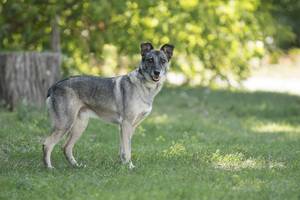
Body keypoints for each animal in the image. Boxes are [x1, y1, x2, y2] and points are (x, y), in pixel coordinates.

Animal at [42, 42, 173, 169]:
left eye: (163, 61)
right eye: (150, 60)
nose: (157, 72)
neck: (144, 87)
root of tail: (55, 86)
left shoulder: (129, 127)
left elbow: (123, 149)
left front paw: (123, 166)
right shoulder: (126, 124)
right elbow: (127, 150)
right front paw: (130, 166)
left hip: (80, 125)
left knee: (66, 147)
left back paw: (77, 166)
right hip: (65, 124)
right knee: (47, 144)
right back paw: (49, 168)